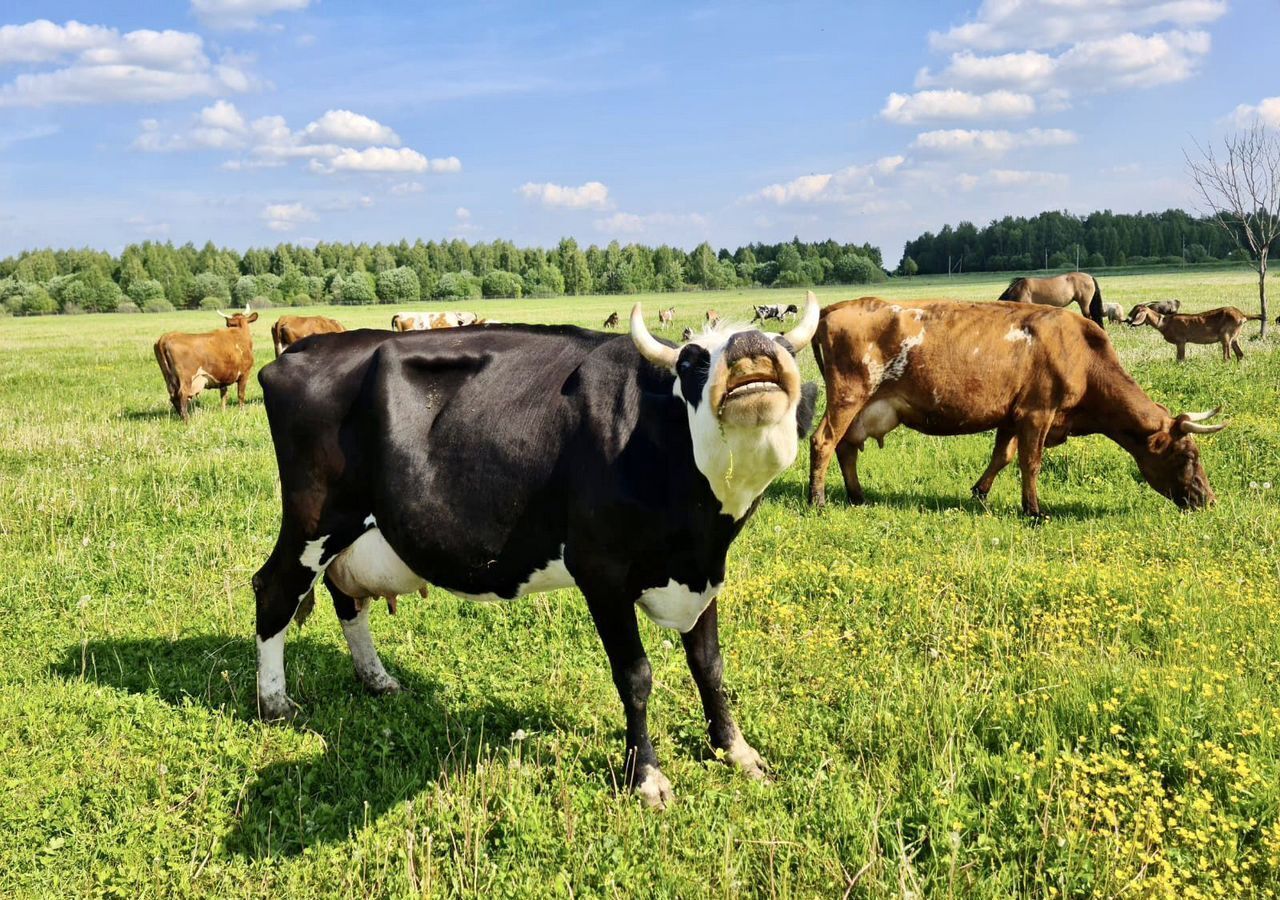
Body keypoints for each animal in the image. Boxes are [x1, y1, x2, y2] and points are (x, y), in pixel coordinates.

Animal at [808, 299, 1228, 517]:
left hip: (862, 408)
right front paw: (1034, 509)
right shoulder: (1036, 413)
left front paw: (980, 492)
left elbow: (1003, 456)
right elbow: (1031, 461)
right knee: (823, 442)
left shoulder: (1012, 414)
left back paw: (857, 496)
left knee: (846, 448)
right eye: (1187, 456)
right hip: (849, 395)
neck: (1082, 353)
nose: (1209, 501)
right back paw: (818, 499)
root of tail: (837, 307)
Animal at [1131, 305, 1259, 363]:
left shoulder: (1181, 341)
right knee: (1240, 354)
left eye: (1135, 312)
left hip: (1225, 336)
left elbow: (1180, 359)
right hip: (1234, 337)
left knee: (1227, 357)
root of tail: (1242, 316)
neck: (1164, 323)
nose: (1128, 321)